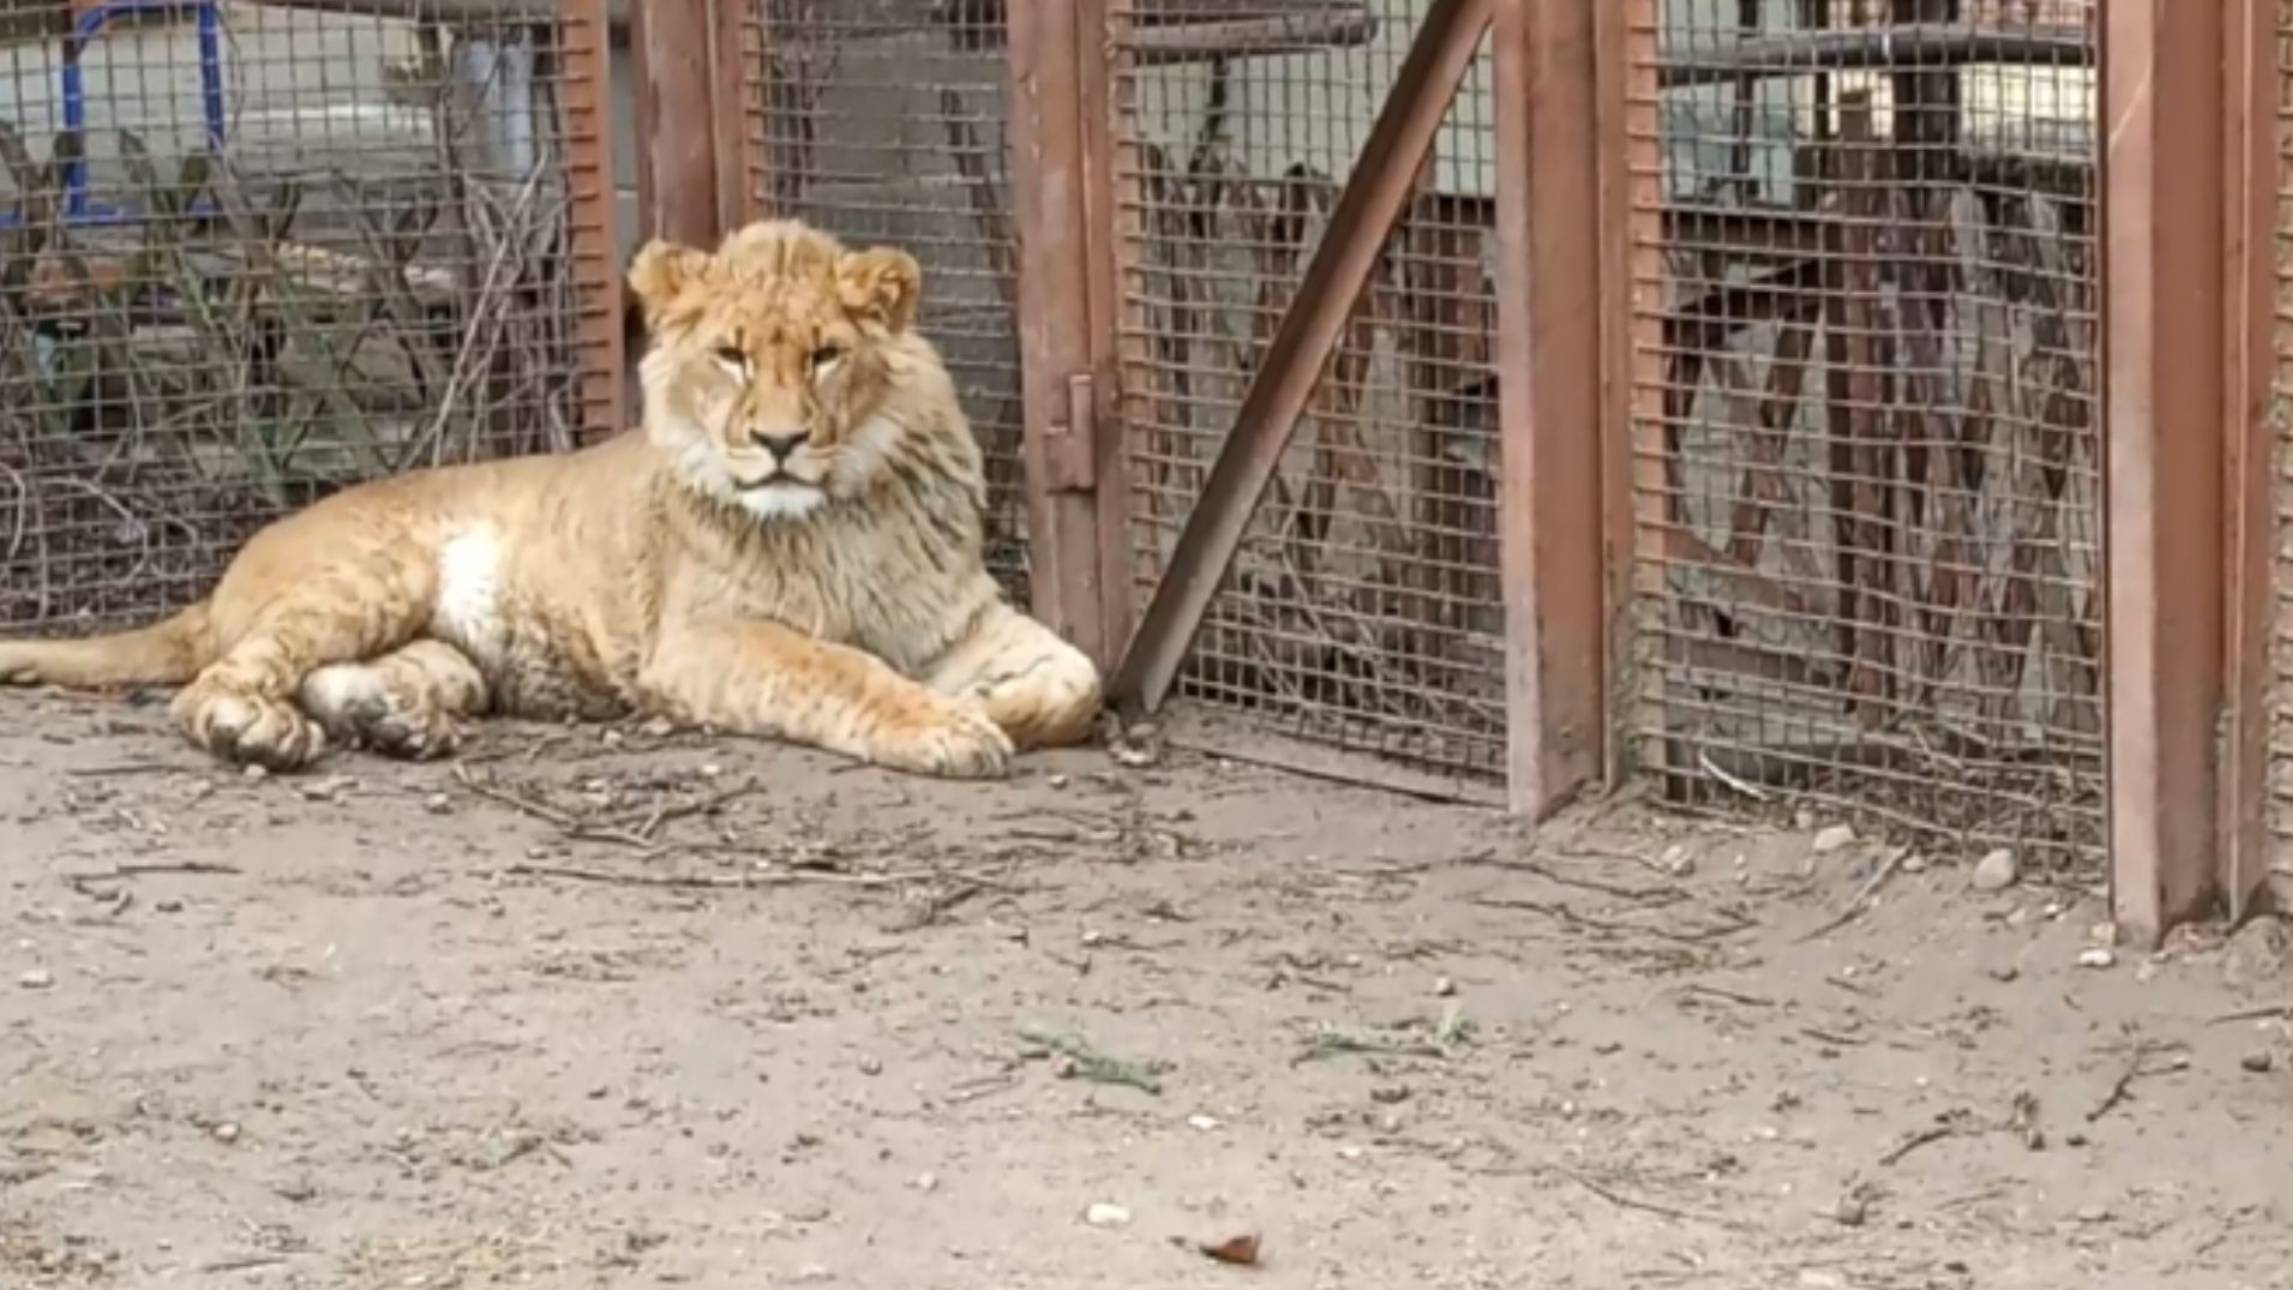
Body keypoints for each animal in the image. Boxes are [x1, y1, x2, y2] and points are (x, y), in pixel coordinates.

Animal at [0, 218, 1101, 779]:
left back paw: (391, 723)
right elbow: (839, 670)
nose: (781, 442)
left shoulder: (949, 615)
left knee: (338, 674)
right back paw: (258, 733)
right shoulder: (703, 639)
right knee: (218, 680)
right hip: (372, 572)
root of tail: (227, 574)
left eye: (827, 356)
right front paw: (950, 728)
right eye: (733, 356)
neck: (843, 507)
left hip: (449, 655)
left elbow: (1078, 680)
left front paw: (990, 704)